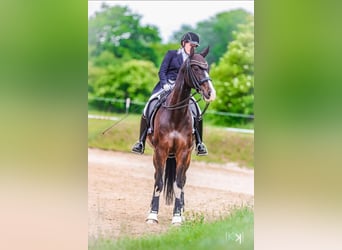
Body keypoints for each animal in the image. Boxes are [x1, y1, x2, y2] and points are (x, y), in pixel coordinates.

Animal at [145, 45, 216, 225]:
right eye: (196, 68)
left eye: (207, 68)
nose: (211, 93)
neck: (175, 115)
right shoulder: (160, 151)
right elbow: (159, 182)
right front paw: (152, 215)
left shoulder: (183, 152)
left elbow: (178, 183)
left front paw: (177, 216)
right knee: (158, 177)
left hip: (186, 156)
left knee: (182, 179)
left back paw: (182, 209)